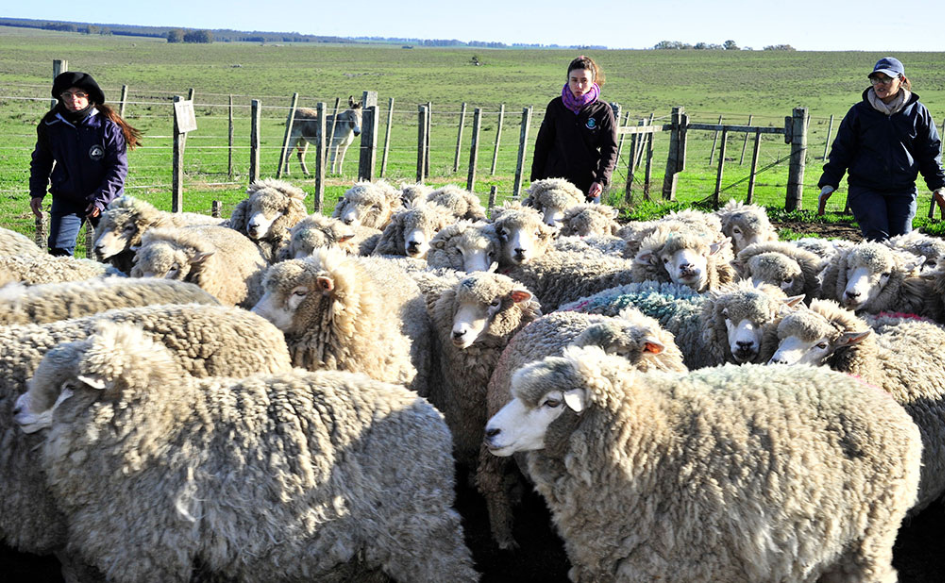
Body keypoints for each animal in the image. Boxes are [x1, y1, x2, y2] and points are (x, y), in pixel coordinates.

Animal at [14, 321, 478, 583]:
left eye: (68, 387)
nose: (17, 411)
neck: (161, 421)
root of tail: (432, 415)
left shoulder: (148, 549)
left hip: (420, 527)